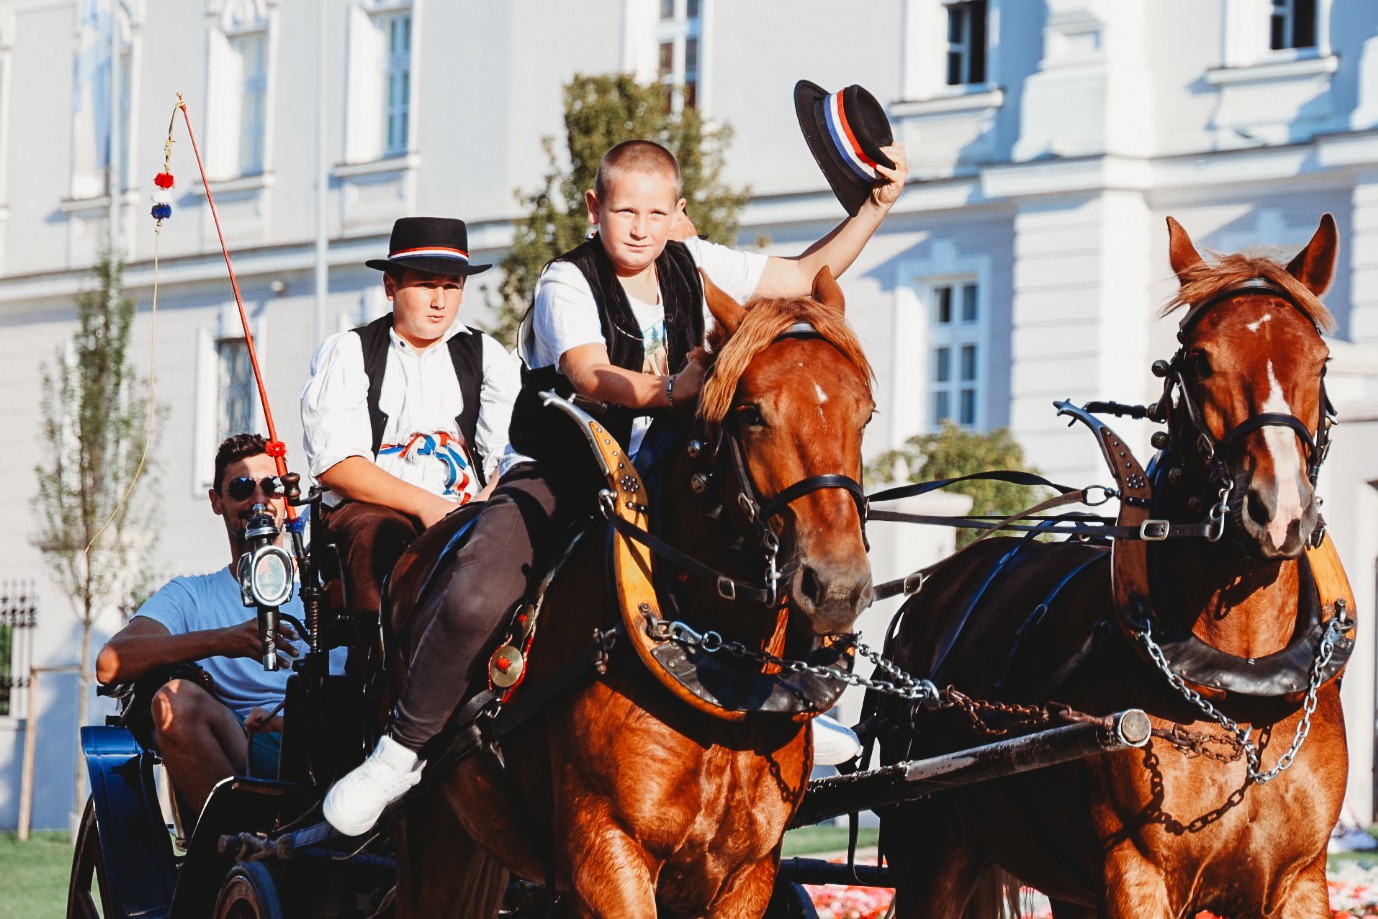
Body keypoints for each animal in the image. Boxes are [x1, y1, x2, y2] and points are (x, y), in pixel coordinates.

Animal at [874, 214, 1355, 918]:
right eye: (1200, 362)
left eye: (1320, 362)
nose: (1280, 512)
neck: (1242, 690)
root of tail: (938, 585)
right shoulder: (1136, 875)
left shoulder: (1299, 881)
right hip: (931, 848)